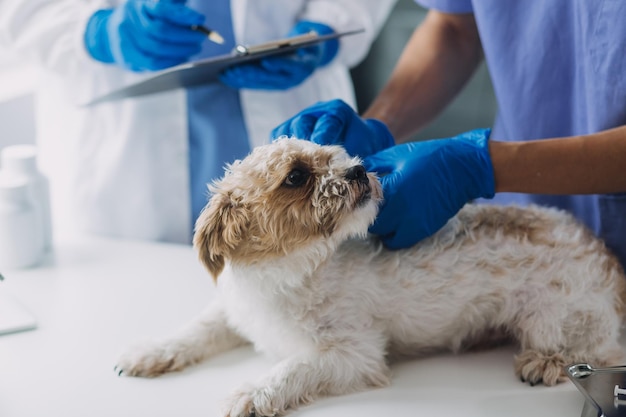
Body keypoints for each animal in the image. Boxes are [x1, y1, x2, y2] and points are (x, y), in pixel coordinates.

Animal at [116, 137, 624, 416]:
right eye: (296, 175)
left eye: (335, 156)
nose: (359, 168)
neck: (291, 273)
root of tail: (606, 255)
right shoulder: (234, 312)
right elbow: (194, 331)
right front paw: (151, 352)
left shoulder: (353, 355)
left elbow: (292, 368)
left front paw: (253, 393)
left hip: (553, 320)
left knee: (589, 350)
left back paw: (545, 361)